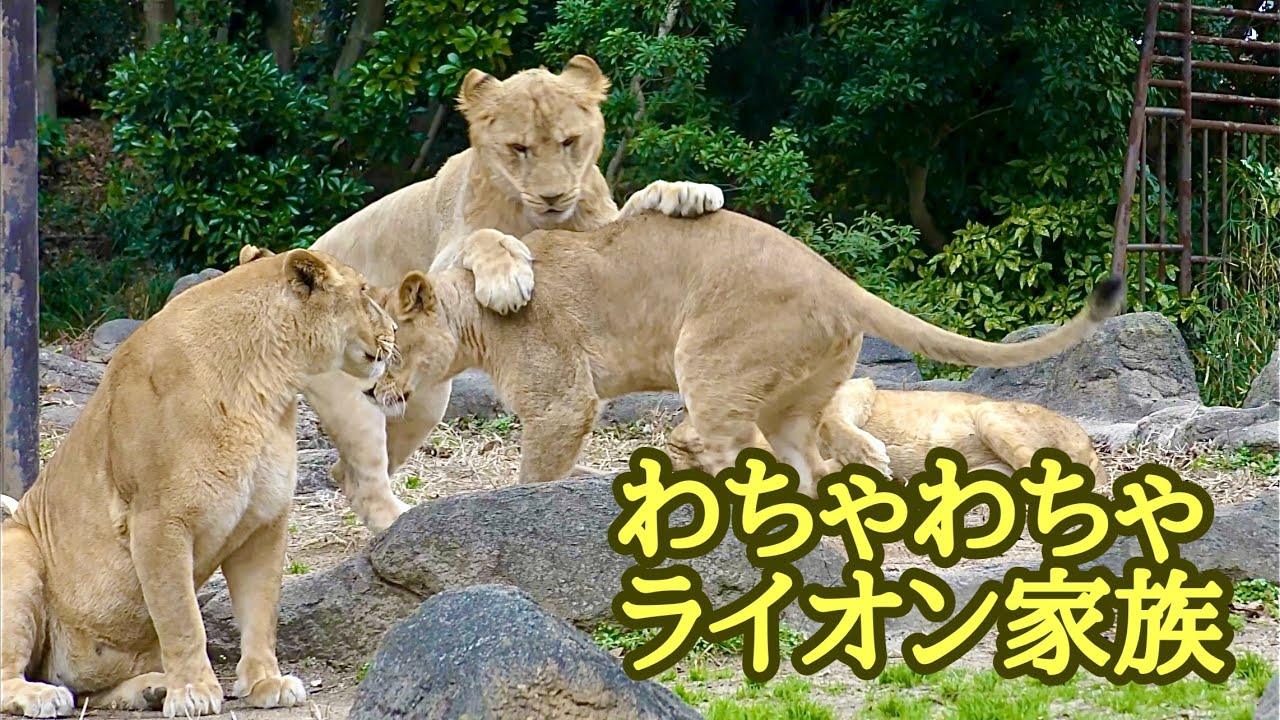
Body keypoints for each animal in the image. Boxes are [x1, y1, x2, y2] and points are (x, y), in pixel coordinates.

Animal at [0, 247, 397, 718]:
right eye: (364, 291)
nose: (394, 331)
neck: (267, 383)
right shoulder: (157, 521)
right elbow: (181, 617)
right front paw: (193, 691)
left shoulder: (265, 522)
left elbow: (262, 610)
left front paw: (266, 682)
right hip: (17, 552)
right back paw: (42, 695)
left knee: (88, 689)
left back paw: (149, 689)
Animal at [298, 54, 725, 533]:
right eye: (518, 148)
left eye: (569, 142)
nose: (553, 196)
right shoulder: (441, 264)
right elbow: (482, 236)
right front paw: (506, 278)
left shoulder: (599, 233)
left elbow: (636, 204)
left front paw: (685, 192)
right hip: (375, 398)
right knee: (358, 476)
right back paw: (400, 524)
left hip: (416, 403)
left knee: (346, 469)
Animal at [363, 210, 1124, 496]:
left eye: (387, 349)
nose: (372, 394)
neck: (472, 324)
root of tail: (834, 276)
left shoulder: (561, 404)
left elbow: (534, 474)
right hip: (794, 397)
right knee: (808, 464)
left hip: (710, 361)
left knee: (737, 452)